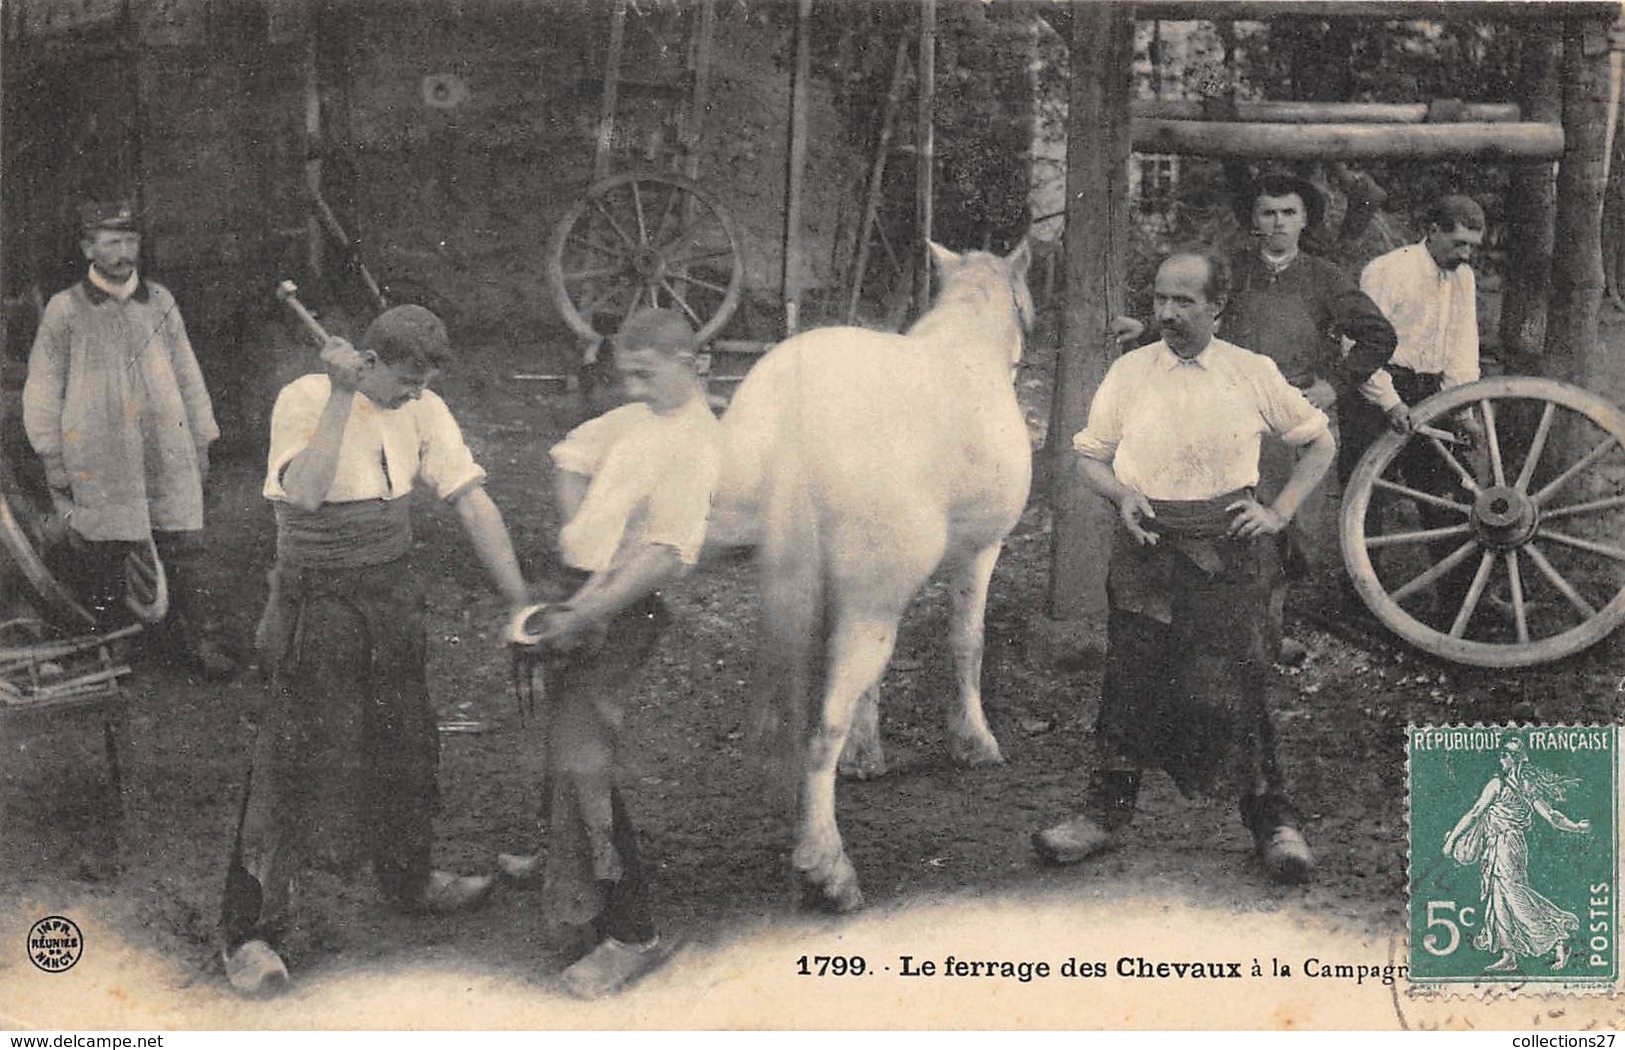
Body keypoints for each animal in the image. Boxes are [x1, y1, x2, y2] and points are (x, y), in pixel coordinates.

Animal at [718, 240, 1033, 910]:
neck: (966, 348)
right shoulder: (980, 551)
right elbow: (966, 643)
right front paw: (974, 742)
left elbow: (877, 678)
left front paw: (866, 756)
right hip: (878, 601)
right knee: (819, 732)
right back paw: (828, 868)